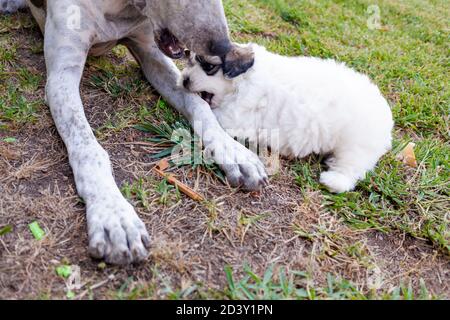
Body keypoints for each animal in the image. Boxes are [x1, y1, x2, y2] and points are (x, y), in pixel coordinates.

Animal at [183, 43, 394, 192]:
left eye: (209, 66)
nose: (184, 80)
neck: (242, 80)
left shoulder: (238, 114)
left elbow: (217, 114)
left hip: (356, 145)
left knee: (351, 166)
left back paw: (334, 181)